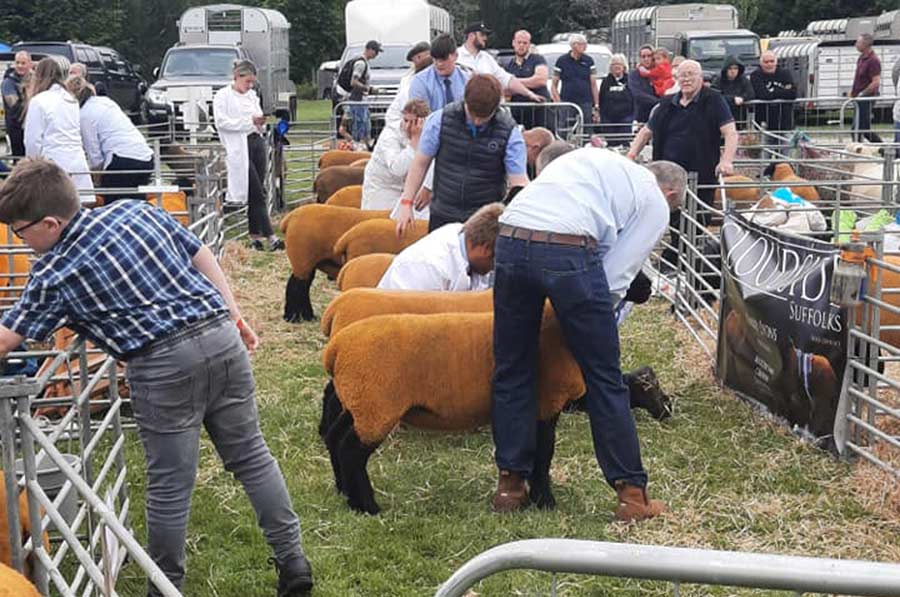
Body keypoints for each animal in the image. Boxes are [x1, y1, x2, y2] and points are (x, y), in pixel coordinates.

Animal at [320, 308, 580, 512]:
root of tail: (336, 348)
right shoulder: (546, 403)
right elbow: (543, 454)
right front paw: (545, 501)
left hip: (358, 402)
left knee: (334, 438)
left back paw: (343, 491)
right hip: (376, 406)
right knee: (350, 451)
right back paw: (366, 506)